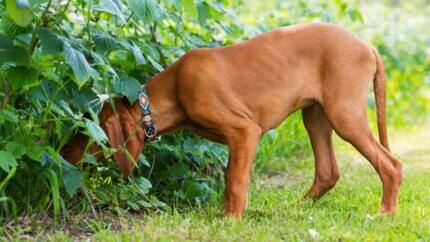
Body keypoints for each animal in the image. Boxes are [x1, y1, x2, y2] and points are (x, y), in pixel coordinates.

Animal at [61, 23, 404, 217]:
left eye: (85, 135)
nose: (62, 154)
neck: (173, 89)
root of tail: (367, 45)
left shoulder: (244, 131)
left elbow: (235, 181)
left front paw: (230, 219)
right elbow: (231, 178)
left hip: (344, 114)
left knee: (390, 165)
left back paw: (385, 213)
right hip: (316, 116)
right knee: (328, 171)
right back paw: (297, 207)